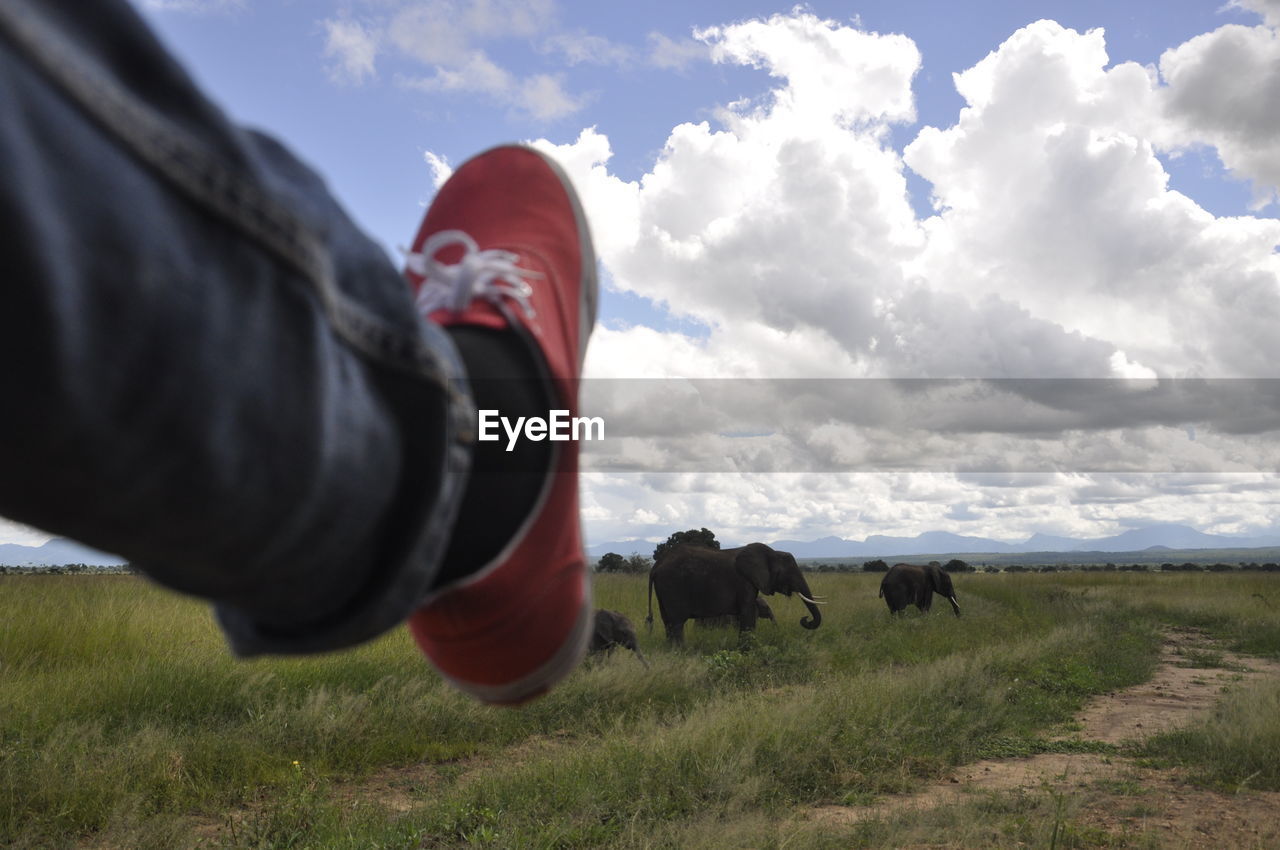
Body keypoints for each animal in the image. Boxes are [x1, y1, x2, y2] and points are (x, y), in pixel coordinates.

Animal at [645, 545, 824, 645]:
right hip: (672, 586)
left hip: (663, 590)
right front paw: (747, 651)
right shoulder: (744, 582)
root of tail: (656, 566)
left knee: (667, 621)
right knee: (676, 623)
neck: (771, 553)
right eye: (788, 572)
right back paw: (682, 652)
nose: (805, 619)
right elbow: (748, 614)